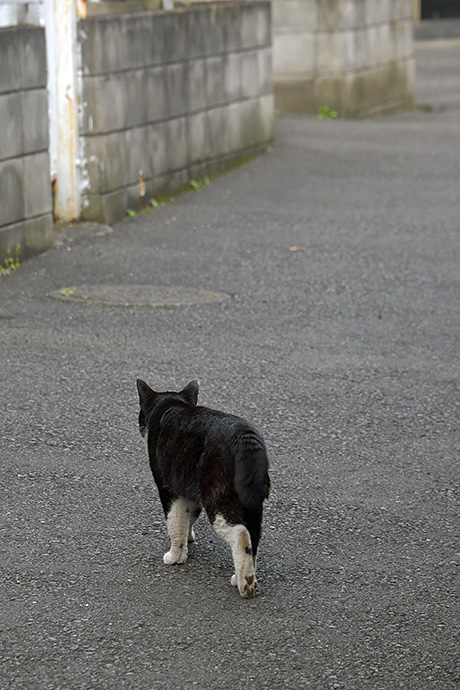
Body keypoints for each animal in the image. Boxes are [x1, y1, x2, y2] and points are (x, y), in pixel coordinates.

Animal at [138, 378, 272, 592]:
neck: (171, 405)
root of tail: (243, 434)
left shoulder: (169, 489)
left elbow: (175, 522)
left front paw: (175, 556)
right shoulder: (189, 489)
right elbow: (188, 517)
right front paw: (189, 539)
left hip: (217, 496)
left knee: (241, 534)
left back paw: (246, 584)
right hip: (252, 501)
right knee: (254, 535)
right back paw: (241, 576)